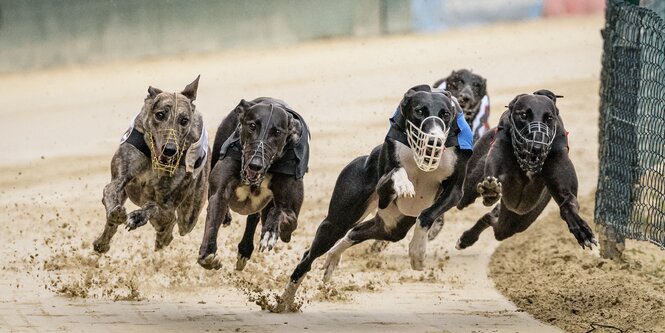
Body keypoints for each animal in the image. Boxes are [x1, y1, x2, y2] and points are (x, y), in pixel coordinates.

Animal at [92, 75, 209, 252]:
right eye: (159, 115)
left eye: (184, 120)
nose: (170, 150)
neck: (154, 160)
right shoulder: (120, 177)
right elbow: (110, 192)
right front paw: (115, 213)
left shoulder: (167, 207)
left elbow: (155, 208)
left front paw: (137, 216)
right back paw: (102, 242)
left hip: (189, 213)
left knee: (174, 223)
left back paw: (162, 239)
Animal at [197, 97, 312, 272]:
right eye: (252, 126)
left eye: (277, 132)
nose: (255, 165)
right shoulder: (219, 191)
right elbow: (214, 213)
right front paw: (208, 254)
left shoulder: (291, 218)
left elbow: (280, 212)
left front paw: (270, 232)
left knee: (256, 217)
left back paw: (245, 249)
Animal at [274, 85, 472, 312]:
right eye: (420, 111)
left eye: (445, 114)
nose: (434, 140)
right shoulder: (384, 185)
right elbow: (395, 172)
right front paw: (404, 184)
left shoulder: (454, 192)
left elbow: (427, 215)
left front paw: (417, 251)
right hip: (336, 223)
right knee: (310, 254)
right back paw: (286, 298)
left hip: (393, 227)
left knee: (356, 232)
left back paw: (333, 256)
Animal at [456, 89, 596, 250]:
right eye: (523, 115)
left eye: (549, 118)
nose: (537, 147)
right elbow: (494, 178)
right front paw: (490, 191)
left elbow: (568, 201)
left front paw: (581, 229)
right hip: (471, 188)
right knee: (464, 200)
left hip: (519, 217)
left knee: (495, 220)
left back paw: (468, 238)